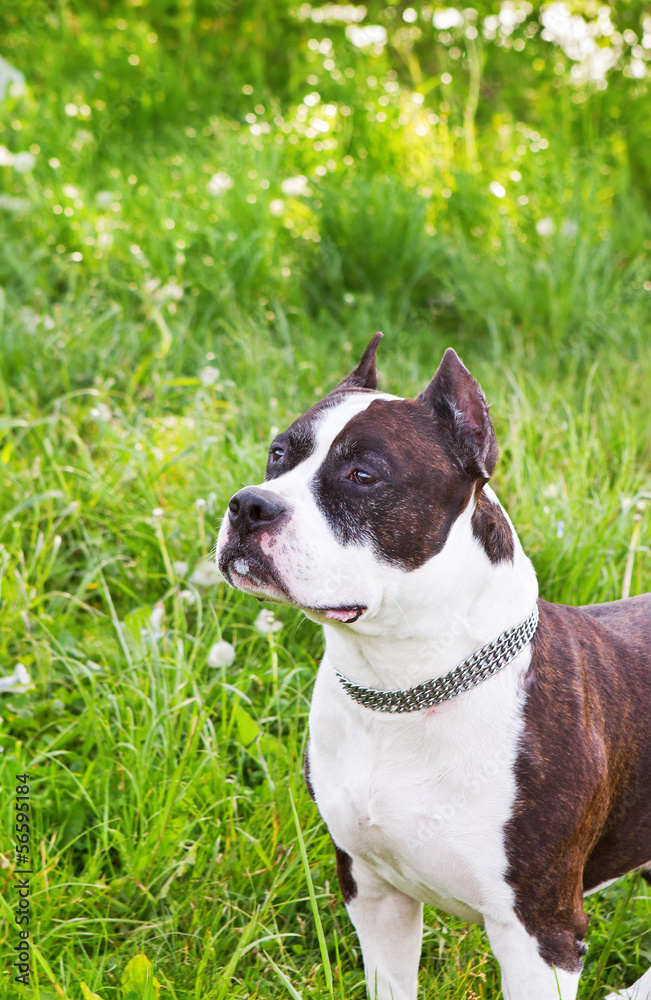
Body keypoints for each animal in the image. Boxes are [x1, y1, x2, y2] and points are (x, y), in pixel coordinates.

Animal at [215, 338, 651, 1000]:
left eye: (363, 476)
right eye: (278, 454)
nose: (249, 505)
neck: (399, 687)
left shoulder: (540, 934)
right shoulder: (372, 891)